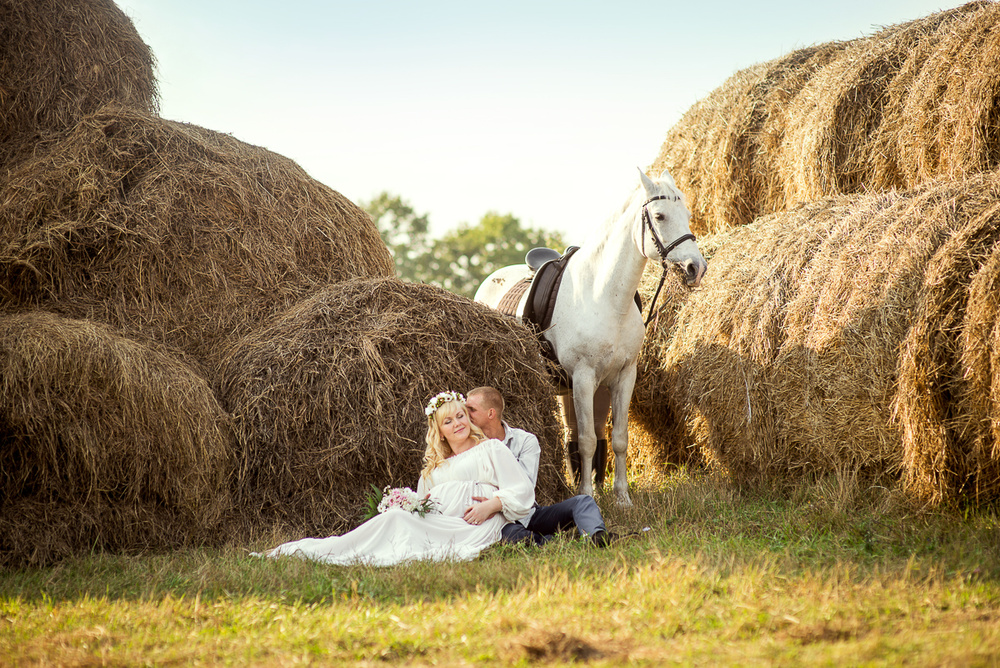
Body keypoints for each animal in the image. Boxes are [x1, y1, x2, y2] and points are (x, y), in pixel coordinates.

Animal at [474, 170, 704, 504]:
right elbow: (586, 441)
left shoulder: (622, 377)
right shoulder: (583, 378)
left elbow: (616, 438)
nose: (695, 268)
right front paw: (587, 496)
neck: (604, 295)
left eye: (686, 215)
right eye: (660, 216)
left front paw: (621, 497)